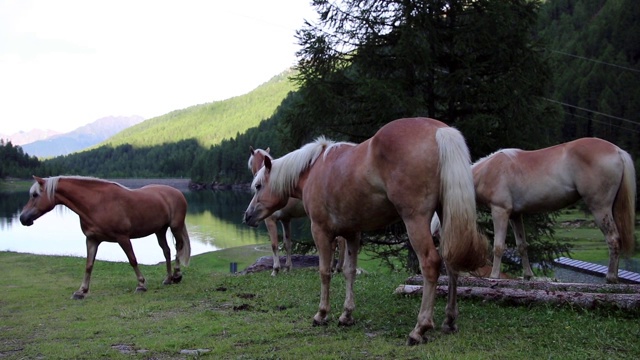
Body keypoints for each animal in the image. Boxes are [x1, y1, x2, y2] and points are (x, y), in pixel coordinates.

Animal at [18, 176, 190, 298]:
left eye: (35, 195)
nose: (22, 218)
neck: (96, 203)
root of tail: (177, 192)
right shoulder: (92, 240)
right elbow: (89, 265)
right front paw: (81, 291)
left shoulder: (123, 237)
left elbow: (132, 260)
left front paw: (141, 285)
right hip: (160, 230)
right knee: (167, 251)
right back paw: (168, 279)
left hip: (175, 227)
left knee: (178, 247)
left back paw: (177, 275)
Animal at [248, 146, 344, 276]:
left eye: (250, 163)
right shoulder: (286, 220)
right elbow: (287, 244)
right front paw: (287, 267)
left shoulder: (270, 220)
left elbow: (274, 245)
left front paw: (275, 269)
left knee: (339, 242)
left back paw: (336, 268)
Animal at [470, 136, 636, 282]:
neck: (489, 170)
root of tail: (617, 151)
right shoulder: (515, 215)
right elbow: (522, 246)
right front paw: (528, 275)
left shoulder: (500, 211)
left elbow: (498, 246)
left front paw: (494, 276)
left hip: (601, 208)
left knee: (613, 239)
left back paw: (611, 277)